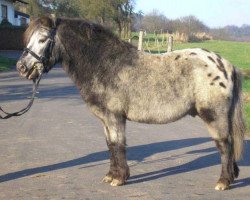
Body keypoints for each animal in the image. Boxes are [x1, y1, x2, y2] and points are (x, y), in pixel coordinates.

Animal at [15, 16, 244, 190]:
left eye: (43, 39)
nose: (22, 67)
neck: (104, 65)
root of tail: (225, 64)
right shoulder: (106, 119)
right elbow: (110, 145)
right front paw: (111, 175)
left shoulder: (115, 117)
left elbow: (118, 145)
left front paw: (119, 178)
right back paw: (231, 176)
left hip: (214, 116)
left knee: (225, 145)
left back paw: (223, 182)